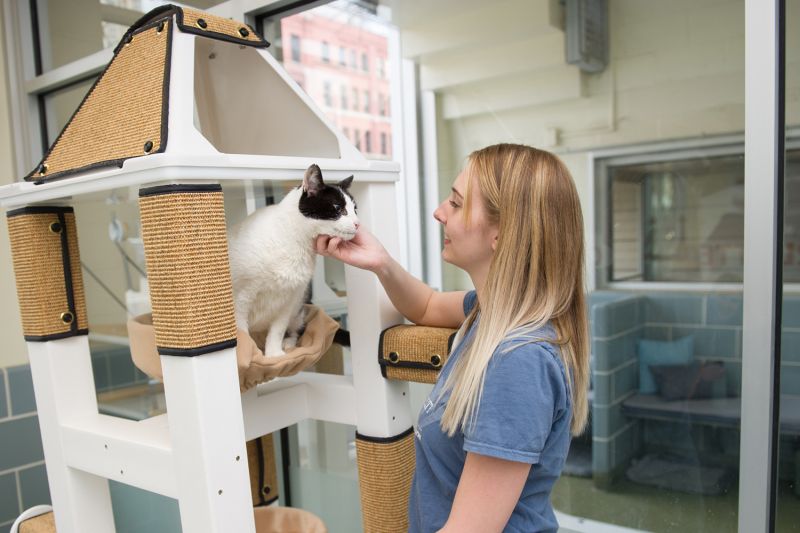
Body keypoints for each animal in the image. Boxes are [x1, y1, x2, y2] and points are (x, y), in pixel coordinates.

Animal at [228, 164, 360, 356]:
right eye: (338, 207)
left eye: (355, 209)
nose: (358, 223)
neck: (296, 242)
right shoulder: (242, 297)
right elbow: (242, 330)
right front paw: (250, 355)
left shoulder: (290, 297)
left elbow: (277, 329)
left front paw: (274, 355)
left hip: (298, 306)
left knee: (298, 328)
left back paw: (288, 343)